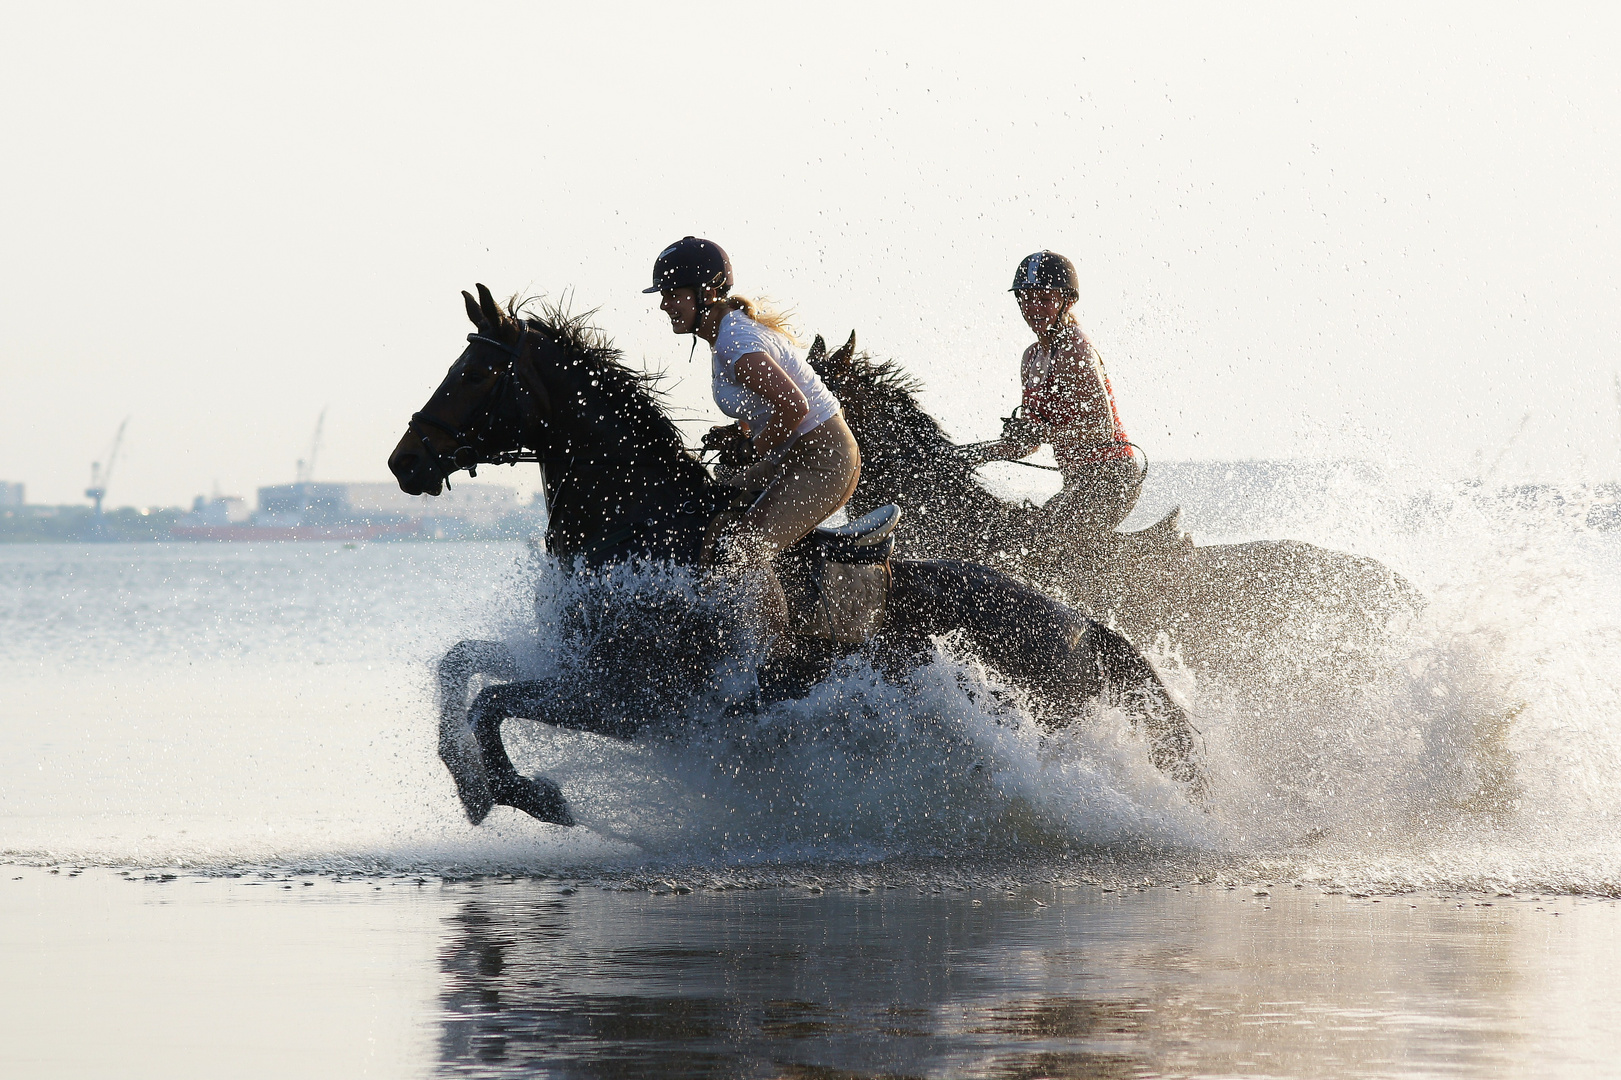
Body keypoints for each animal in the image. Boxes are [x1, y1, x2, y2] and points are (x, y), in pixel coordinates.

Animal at [385, 285, 1212, 823]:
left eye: (475, 373)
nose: (403, 461)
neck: (638, 529)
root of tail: (1084, 629)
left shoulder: (626, 699)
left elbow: (492, 702)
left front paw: (528, 793)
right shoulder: (572, 662)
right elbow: (461, 666)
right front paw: (471, 786)